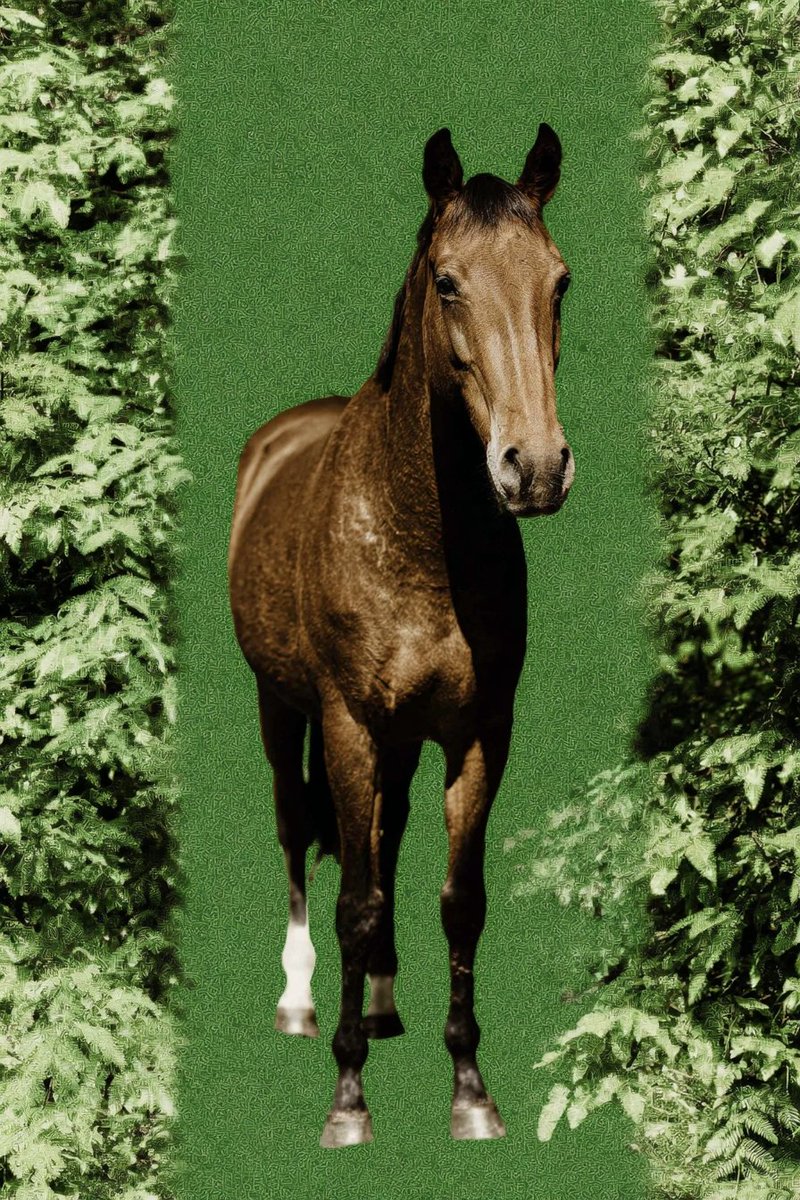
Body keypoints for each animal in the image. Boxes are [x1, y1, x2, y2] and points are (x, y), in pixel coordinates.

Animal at [228, 123, 574, 1148]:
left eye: (558, 281)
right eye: (448, 281)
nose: (536, 469)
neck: (420, 536)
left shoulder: (477, 734)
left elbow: (459, 902)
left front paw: (469, 1090)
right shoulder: (345, 724)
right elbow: (353, 897)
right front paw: (348, 1099)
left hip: (404, 742)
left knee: (384, 834)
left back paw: (381, 1007)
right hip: (281, 710)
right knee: (299, 836)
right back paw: (305, 1007)